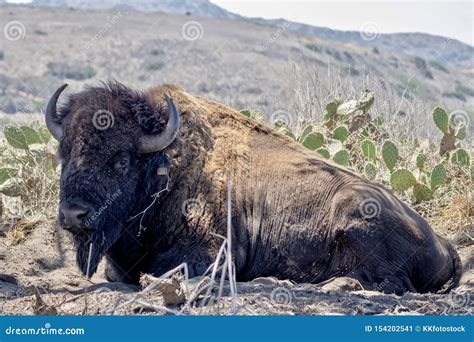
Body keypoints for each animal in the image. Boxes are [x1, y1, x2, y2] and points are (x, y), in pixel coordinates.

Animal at [46, 82, 462, 294]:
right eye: (64, 152)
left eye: (121, 159)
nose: (73, 214)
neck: (166, 163)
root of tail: (444, 241)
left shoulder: (213, 250)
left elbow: (163, 268)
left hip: (358, 212)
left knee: (392, 283)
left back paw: (332, 284)